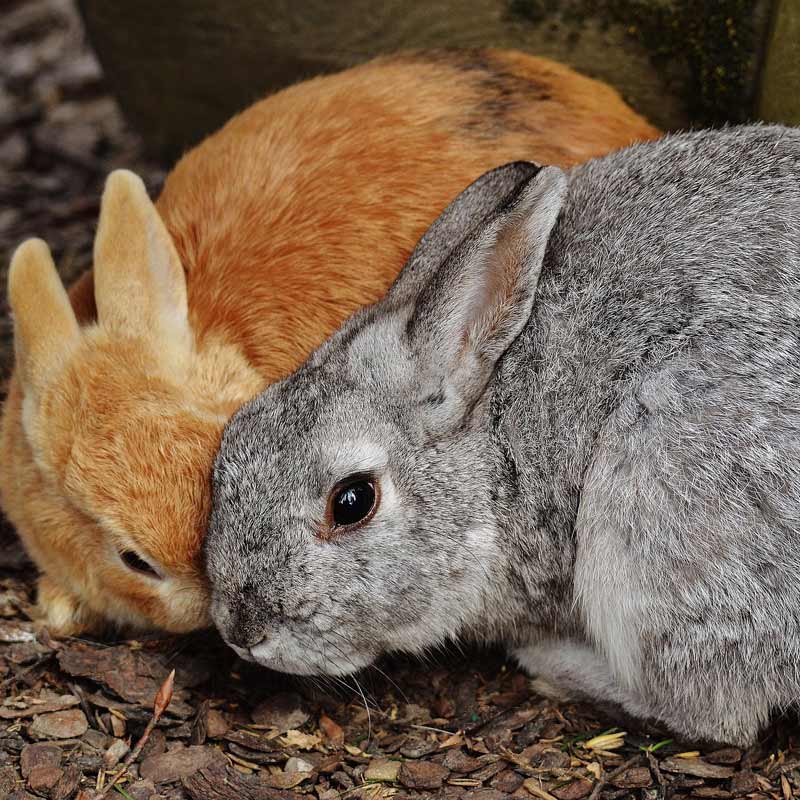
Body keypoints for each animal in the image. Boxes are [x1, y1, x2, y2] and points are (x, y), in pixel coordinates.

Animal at [205, 124, 800, 747]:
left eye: (352, 501)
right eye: (232, 448)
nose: (240, 628)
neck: (493, 450)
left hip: (651, 500)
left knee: (710, 710)